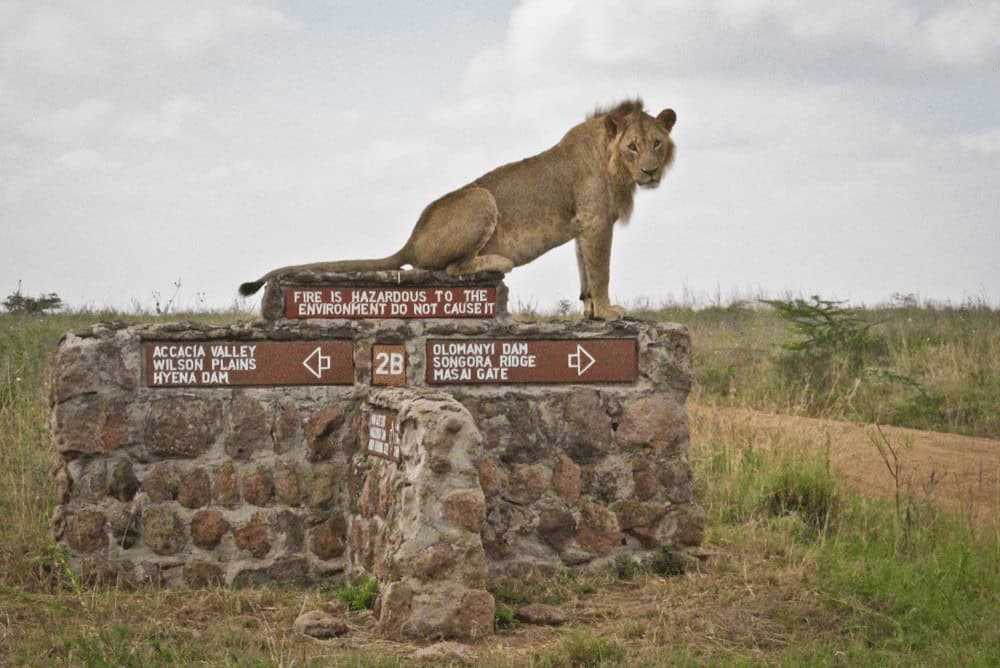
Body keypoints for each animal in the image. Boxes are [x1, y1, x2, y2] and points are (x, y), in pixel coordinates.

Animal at [239, 99, 676, 320]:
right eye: (632, 147)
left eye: (657, 143)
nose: (650, 172)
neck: (614, 164)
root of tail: (411, 239)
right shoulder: (596, 222)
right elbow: (601, 271)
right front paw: (607, 311)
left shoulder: (583, 226)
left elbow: (585, 270)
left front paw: (588, 310)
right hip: (480, 199)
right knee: (446, 268)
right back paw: (498, 261)